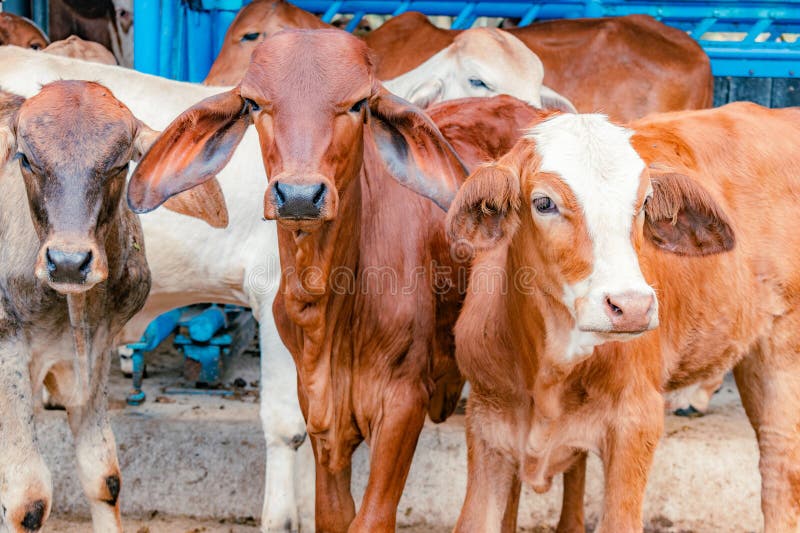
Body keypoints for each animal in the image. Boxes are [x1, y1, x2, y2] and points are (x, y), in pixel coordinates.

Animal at [0, 80, 153, 533]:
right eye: (26, 158)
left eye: (120, 165)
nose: (68, 261)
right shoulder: (7, 352)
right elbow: (27, 500)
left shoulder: (96, 350)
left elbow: (104, 475)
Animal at [442, 102, 800, 531]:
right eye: (543, 203)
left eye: (645, 202)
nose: (632, 306)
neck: (550, 371)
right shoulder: (486, 426)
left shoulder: (635, 424)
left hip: (784, 352)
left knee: (779, 462)